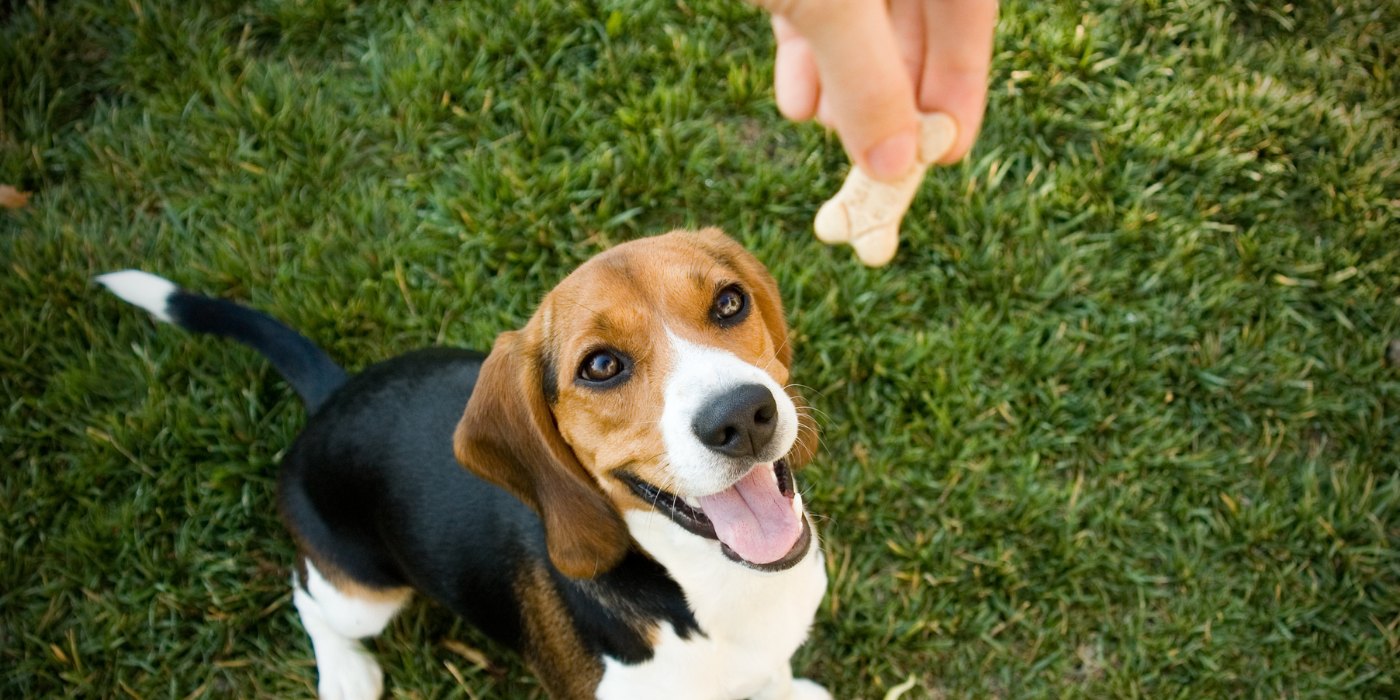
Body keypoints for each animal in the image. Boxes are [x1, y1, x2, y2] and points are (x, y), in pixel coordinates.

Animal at [103, 231, 834, 700]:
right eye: (601, 366)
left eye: (730, 302)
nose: (741, 415)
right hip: (364, 595)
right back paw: (345, 673)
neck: (716, 584)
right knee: (308, 595)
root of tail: (334, 394)